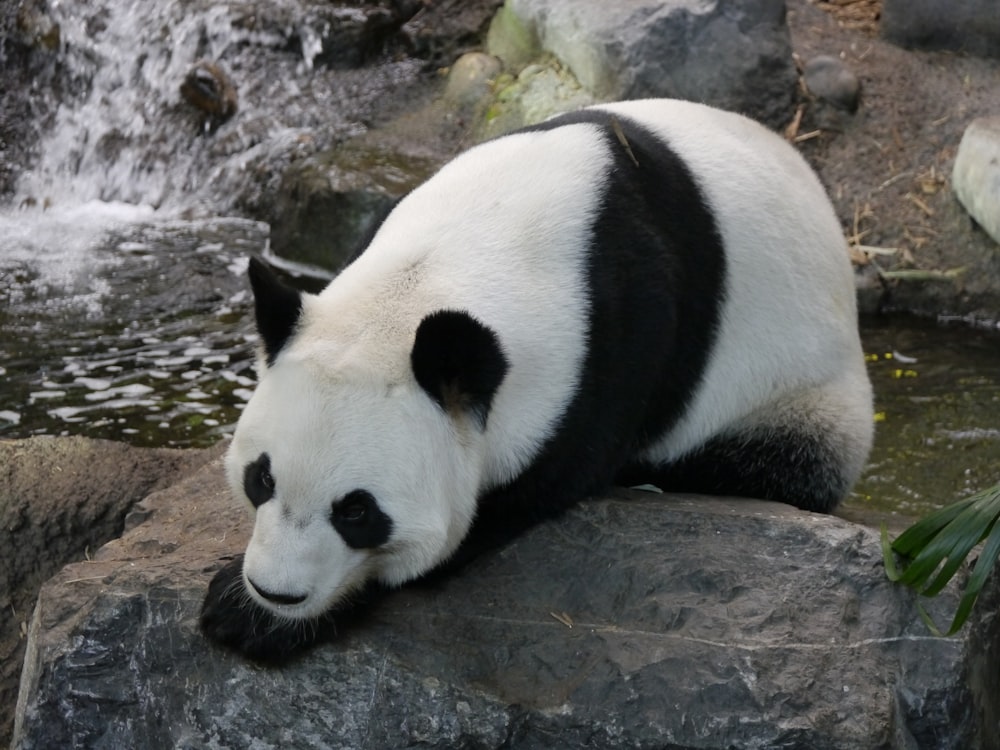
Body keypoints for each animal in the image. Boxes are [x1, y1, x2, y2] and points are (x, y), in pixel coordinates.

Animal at [201, 97, 876, 660]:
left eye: (358, 512)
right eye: (261, 478)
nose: (277, 592)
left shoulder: (618, 337)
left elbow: (513, 499)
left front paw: (254, 618)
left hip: (801, 388)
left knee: (775, 461)